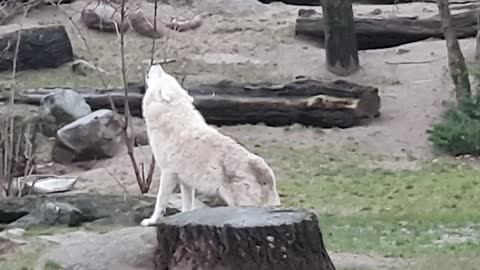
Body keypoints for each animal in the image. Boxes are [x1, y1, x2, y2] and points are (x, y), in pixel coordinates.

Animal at [139, 63, 282, 226]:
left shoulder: (168, 173)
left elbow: (160, 202)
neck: (169, 117)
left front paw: (151, 221)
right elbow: (186, 207)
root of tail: (265, 173)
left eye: (162, 75)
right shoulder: (186, 182)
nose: (157, 65)